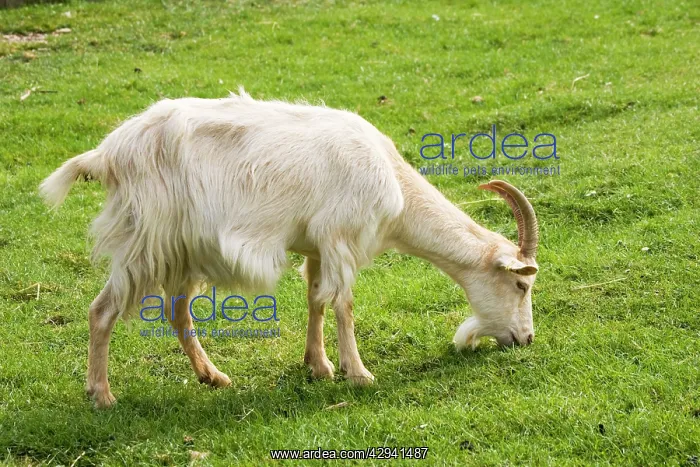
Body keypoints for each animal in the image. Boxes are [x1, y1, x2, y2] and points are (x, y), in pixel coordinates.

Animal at [40, 89, 540, 408]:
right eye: (521, 285)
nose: (527, 339)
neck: (394, 184)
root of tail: (106, 154)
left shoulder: (317, 244)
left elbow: (315, 298)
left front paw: (318, 365)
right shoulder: (341, 238)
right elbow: (344, 304)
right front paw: (359, 374)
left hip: (180, 251)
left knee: (176, 314)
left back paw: (213, 377)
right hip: (146, 240)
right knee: (102, 310)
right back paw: (102, 395)